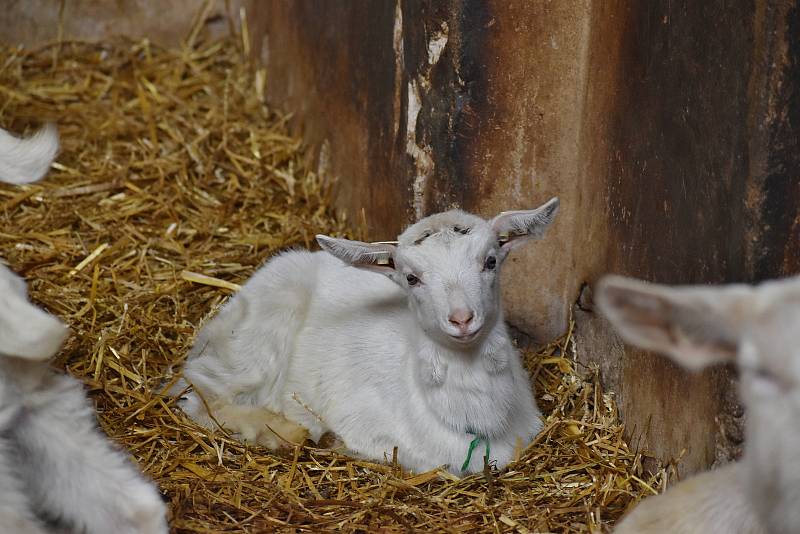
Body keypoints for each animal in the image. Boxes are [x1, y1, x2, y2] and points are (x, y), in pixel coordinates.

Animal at [178, 199, 560, 476]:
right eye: (411, 278)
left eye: (491, 261)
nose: (462, 319)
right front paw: (328, 440)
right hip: (254, 343)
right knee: (199, 397)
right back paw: (284, 433)